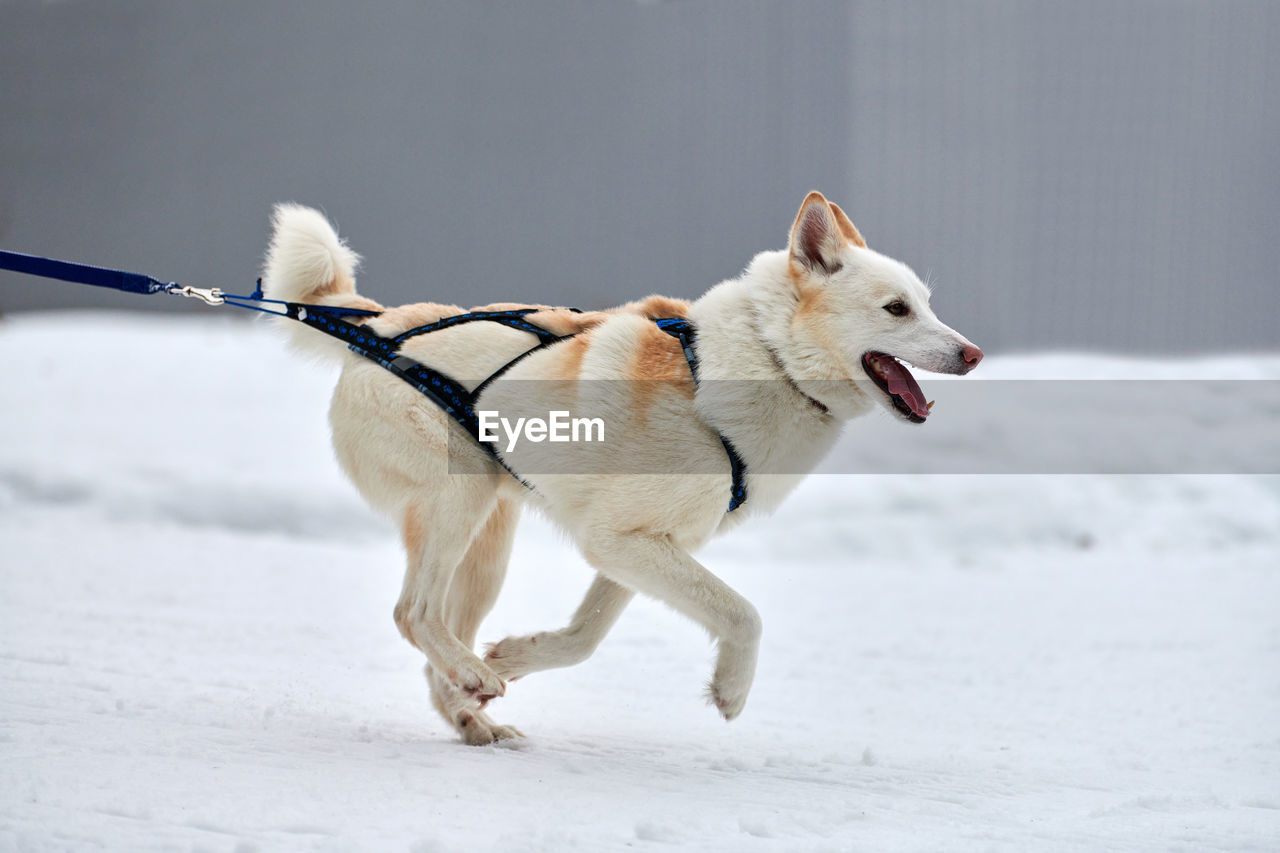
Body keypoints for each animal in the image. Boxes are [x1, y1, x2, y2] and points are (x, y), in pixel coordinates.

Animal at [257, 190, 977, 737]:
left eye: (928, 303)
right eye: (896, 308)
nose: (972, 354)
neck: (766, 363)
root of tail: (377, 326)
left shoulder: (636, 547)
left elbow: (585, 637)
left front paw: (515, 659)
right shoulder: (622, 541)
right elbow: (744, 613)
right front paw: (732, 689)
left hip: (490, 541)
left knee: (437, 636)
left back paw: (473, 710)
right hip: (457, 502)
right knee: (413, 613)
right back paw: (469, 676)